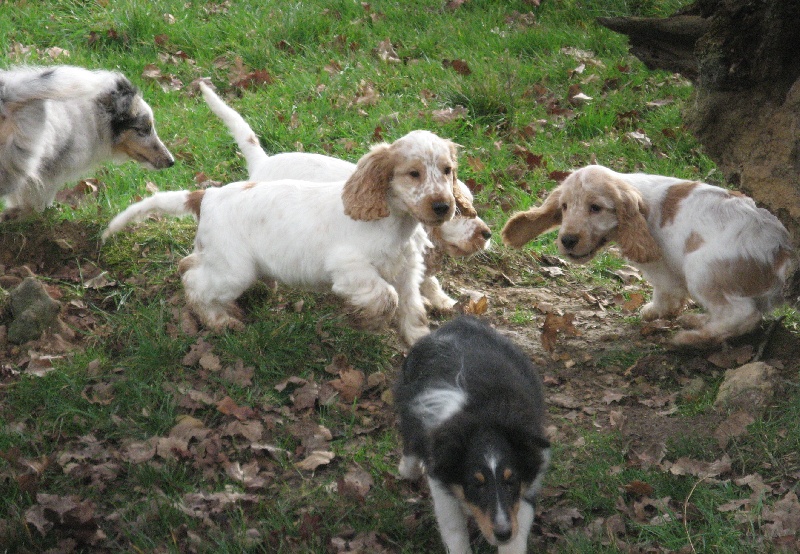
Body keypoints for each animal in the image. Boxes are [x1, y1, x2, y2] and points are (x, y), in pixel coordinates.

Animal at [0, 66, 173, 217]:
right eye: (143, 130)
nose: (172, 162)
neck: (95, 118)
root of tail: (9, 94)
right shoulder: (48, 173)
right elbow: (37, 201)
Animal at [103, 130, 472, 344]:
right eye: (414, 173)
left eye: (447, 170)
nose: (444, 206)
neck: (395, 223)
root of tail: (206, 195)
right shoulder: (350, 269)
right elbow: (385, 298)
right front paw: (367, 321)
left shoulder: (407, 271)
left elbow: (411, 306)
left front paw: (417, 339)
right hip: (234, 271)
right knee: (193, 283)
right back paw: (219, 321)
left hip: (219, 259)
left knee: (189, 264)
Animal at [394, 316, 552, 548]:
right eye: (476, 484)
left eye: (510, 481)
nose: (503, 533)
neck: (484, 419)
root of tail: (458, 321)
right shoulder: (441, 477)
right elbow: (454, 529)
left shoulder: (526, 484)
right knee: (409, 443)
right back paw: (408, 468)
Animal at [504, 163, 792, 344]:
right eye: (564, 207)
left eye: (595, 208)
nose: (567, 240)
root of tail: (783, 254)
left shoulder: (661, 269)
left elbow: (664, 293)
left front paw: (653, 311)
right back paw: (698, 321)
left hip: (701, 270)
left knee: (743, 314)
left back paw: (690, 338)